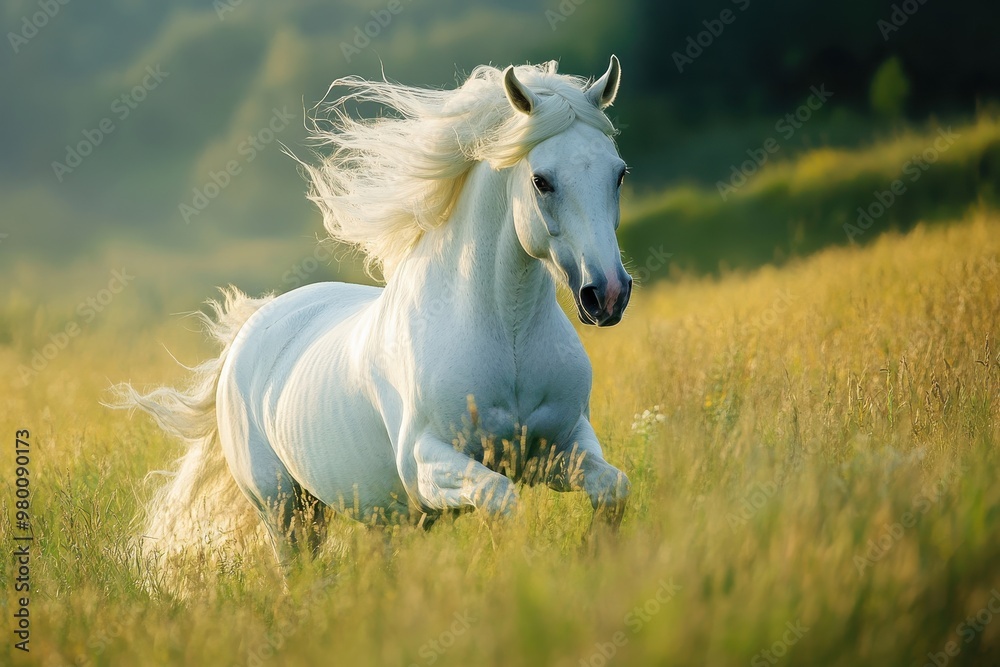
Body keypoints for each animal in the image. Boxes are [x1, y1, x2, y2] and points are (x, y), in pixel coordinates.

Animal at [116, 56, 633, 568]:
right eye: (541, 181)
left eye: (619, 173)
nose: (607, 294)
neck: (507, 339)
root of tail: (248, 333)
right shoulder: (427, 463)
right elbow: (502, 499)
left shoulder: (563, 445)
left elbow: (614, 488)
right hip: (284, 508)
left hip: (377, 517)